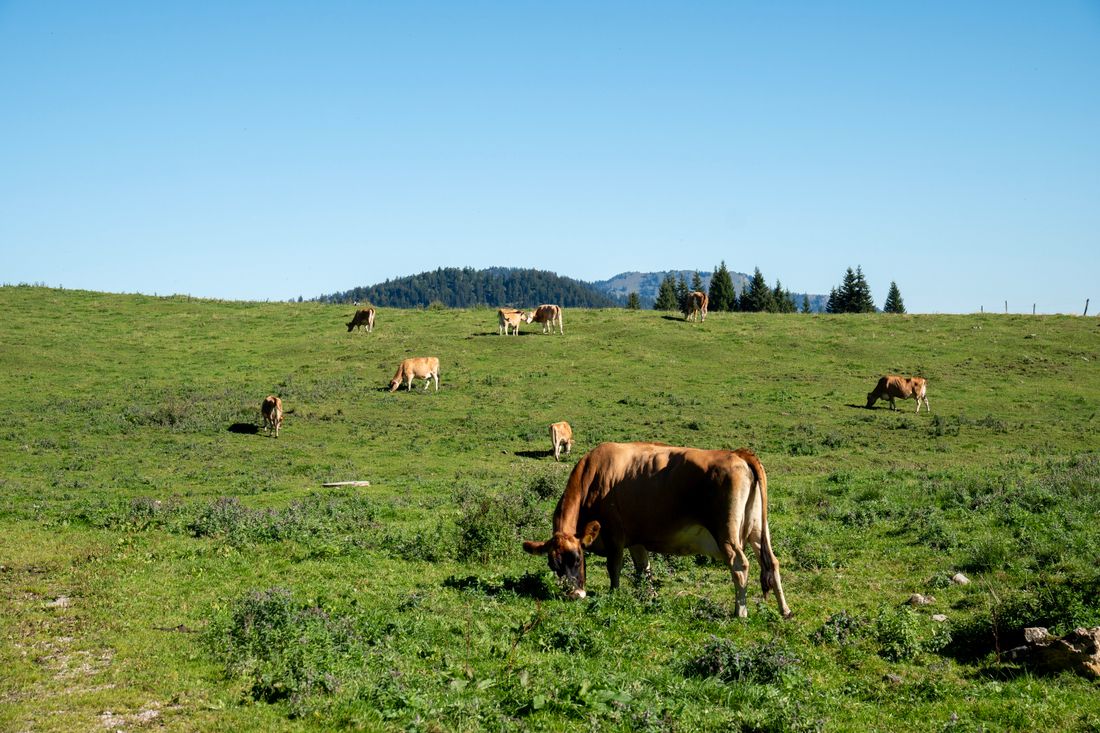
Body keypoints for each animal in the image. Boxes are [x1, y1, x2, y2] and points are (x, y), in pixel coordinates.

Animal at [523, 441, 791, 618]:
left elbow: (614, 567)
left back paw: (740, 612)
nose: (573, 595)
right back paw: (785, 610)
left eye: (578, 559)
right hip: (758, 530)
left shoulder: (614, 534)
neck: (593, 475)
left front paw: (614, 594)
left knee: (740, 564)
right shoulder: (637, 540)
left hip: (726, 532)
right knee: (772, 562)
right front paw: (649, 598)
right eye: (553, 565)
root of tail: (738, 454)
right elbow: (645, 570)